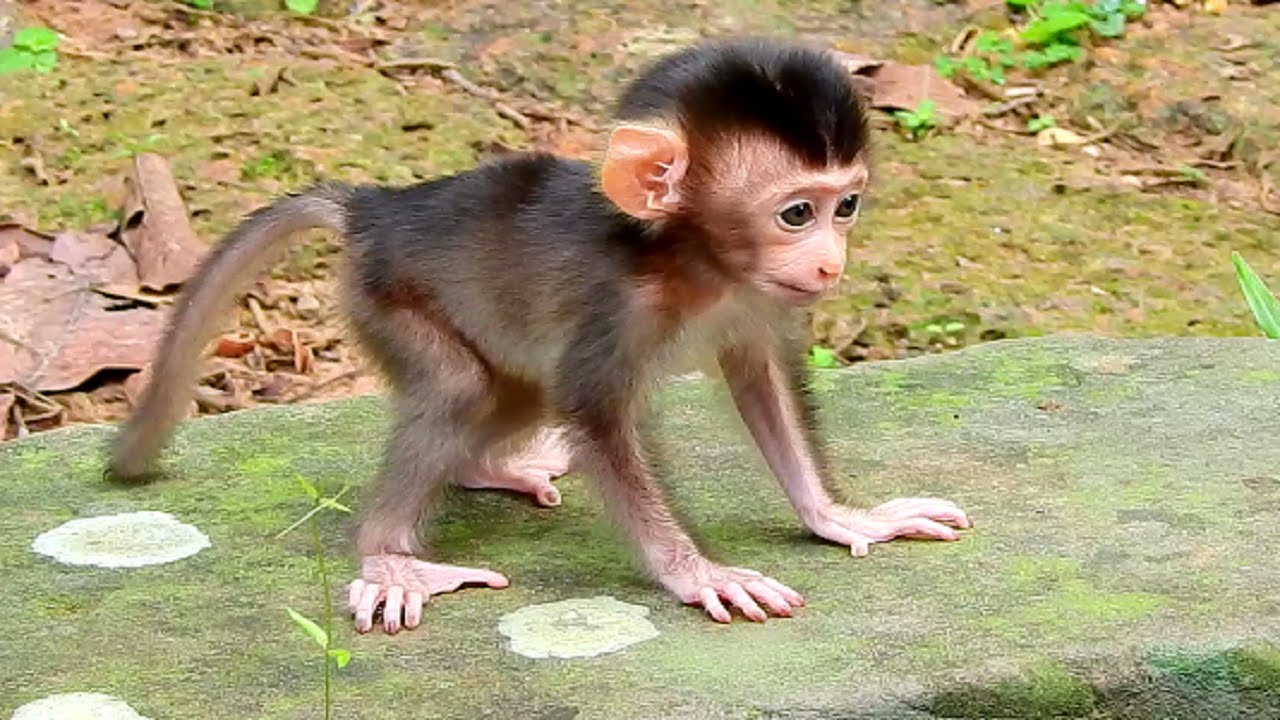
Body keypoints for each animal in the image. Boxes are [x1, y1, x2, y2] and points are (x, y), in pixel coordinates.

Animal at [109, 37, 970, 633]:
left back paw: (488, 467)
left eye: (846, 205)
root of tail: (379, 208)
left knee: (515, 393)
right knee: (461, 387)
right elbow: (594, 412)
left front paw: (839, 517)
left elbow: (761, 384)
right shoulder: (614, 304)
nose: (830, 263)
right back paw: (388, 556)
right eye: (796, 212)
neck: (686, 260)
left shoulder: (755, 303)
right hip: (383, 295)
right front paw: (695, 574)